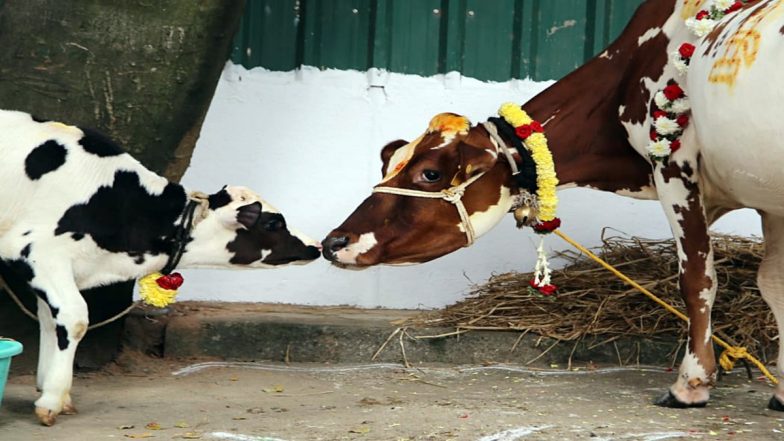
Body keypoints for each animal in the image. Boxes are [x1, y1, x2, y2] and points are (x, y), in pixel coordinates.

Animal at [0, 109, 321, 425]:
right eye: (273, 223)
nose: (315, 246)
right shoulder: (40, 252)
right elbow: (74, 318)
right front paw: (51, 401)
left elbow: (49, 320)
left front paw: (54, 393)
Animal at [322, 0, 784, 410]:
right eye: (388, 164)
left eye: (430, 174)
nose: (333, 241)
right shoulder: (771, 202)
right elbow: (772, 283)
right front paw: (780, 391)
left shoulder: (674, 169)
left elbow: (697, 279)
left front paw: (690, 385)